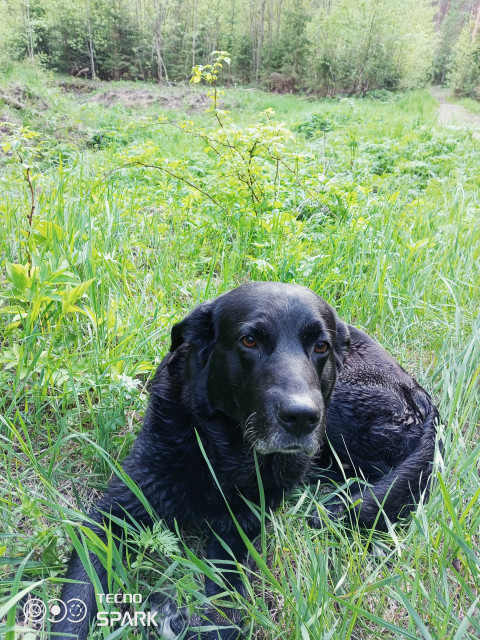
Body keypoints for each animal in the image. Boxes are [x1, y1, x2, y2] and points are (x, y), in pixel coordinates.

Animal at [52, 284, 438, 640]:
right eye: (249, 340)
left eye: (321, 346)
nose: (301, 417)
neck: (221, 453)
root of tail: (422, 398)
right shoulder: (111, 514)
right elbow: (76, 602)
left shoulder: (243, 529)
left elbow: (229, 613)